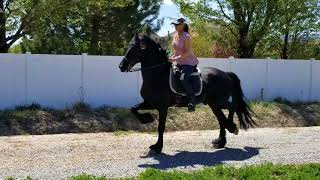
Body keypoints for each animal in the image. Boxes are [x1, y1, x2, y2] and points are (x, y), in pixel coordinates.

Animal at [119, 33, 256, 153]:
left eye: (135, 49)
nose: (121, 66)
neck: (157, 75)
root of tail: (226, 74)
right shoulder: (150, 103)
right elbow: (133, 109)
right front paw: (147, 119)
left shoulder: (162, 107)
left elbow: (161, 127)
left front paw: (157, 147)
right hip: (213, 104)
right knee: (221, 119)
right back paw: (220, 141)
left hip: (219, 101)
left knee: (232, 107)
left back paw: (232, 127)